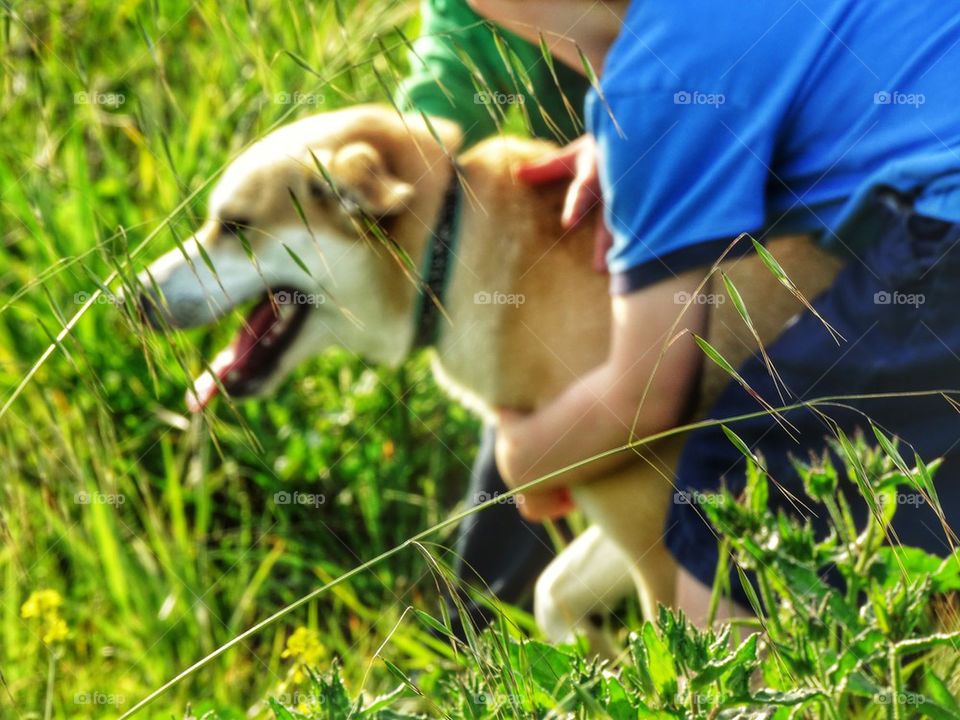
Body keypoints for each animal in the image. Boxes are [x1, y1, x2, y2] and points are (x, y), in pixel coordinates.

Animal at [139, 104, 844, 648]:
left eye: (234, 226)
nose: (131, 296)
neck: (453, 251)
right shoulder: (614, 511)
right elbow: (554, 594)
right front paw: (596, 661)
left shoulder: (657, 534)